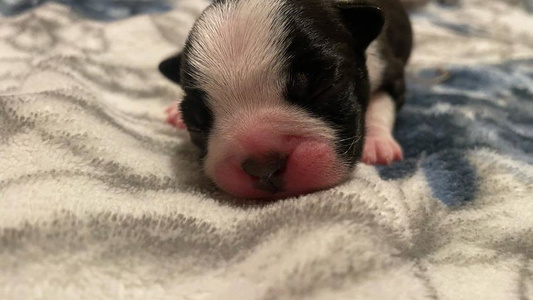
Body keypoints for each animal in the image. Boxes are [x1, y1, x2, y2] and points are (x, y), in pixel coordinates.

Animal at [160, 0, 414, 199]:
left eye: (325, 87)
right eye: (196, 126)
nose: (263, 168)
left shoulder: (389, 69)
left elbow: (382, 103)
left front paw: (378, 143)